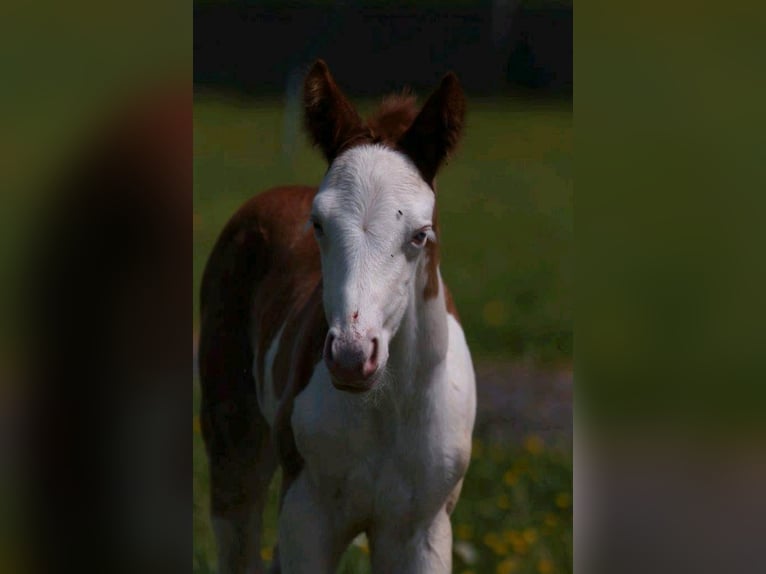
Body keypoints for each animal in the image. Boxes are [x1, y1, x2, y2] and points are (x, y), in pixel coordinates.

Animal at [200, 60, 480, 572]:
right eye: (318, 224)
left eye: (420, 234)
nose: (351, 358)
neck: (386, 407)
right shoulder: (307, 515)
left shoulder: (422, 531)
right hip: (234, 444)